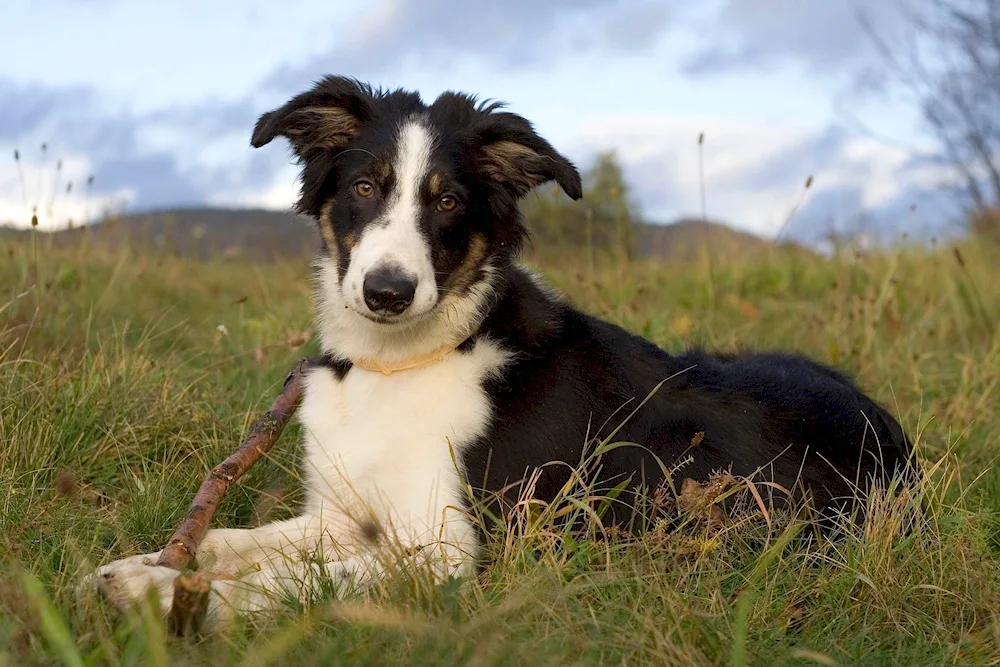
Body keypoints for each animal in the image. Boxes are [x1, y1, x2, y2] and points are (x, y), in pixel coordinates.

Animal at [94, 75, 916, 628]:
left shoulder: (459, 551)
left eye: (448, 200)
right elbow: (237, 540)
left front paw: (166, 597)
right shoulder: (344, 512)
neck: (400, 362)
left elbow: (296, 581)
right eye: (363, 187)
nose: (387, 292)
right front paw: (143, 566)